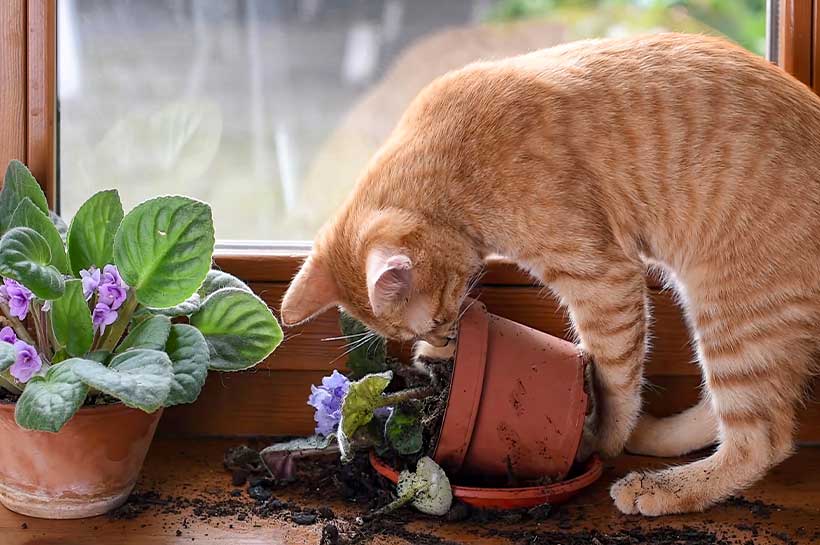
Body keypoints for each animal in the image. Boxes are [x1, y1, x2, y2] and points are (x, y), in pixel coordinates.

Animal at [282, 33, 820, 516]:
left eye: (434, 319)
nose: (444, 334)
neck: (453, 167)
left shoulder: (604, 281)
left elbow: (614, 379)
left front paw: (603, 438)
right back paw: (657, 438)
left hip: (732, 313)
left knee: (762, 438)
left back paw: (664, 487)